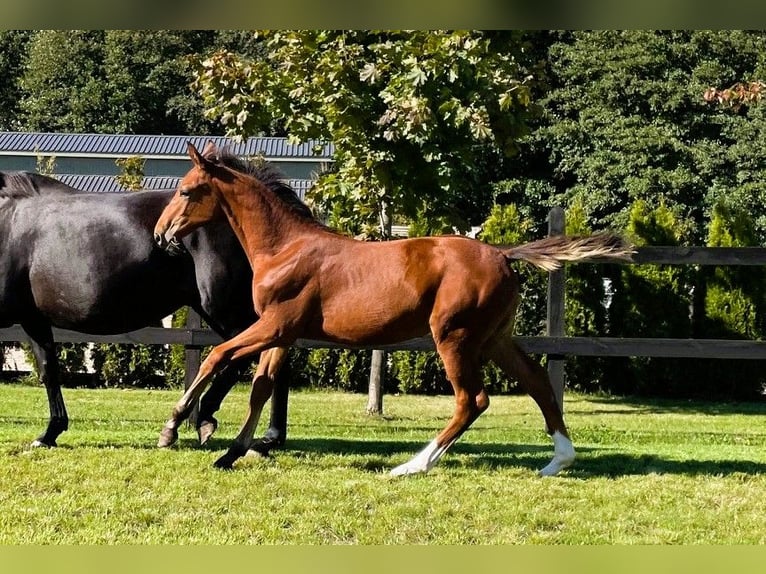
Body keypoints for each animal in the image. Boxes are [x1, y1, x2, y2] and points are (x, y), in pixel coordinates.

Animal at [0, 168, 292, 450]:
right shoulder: (34, 320)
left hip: (224, 308)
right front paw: (50, 433)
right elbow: (48, 371)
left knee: (243, 355)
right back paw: (268, 438)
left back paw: (192, 422)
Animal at [153, 141, 634, 475]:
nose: (161, 234)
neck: (285, 248)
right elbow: (261, 387)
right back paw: (558, 460)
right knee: (537, 381)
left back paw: (411, 466)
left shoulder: (274, 324)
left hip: (454, 336)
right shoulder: (283, 333)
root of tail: (504, 253)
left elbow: (217, 356)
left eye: (187, 190)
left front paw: (174, 426)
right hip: (495, 337)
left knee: (472, 400)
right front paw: (231, 453)